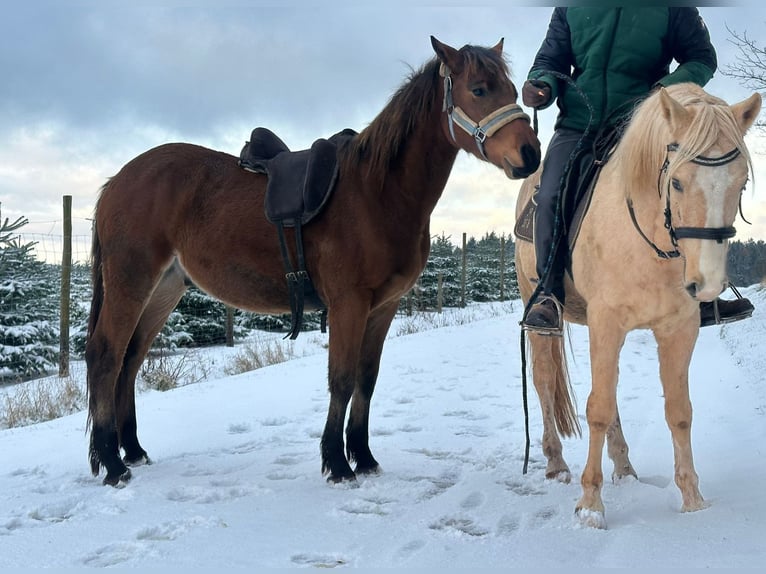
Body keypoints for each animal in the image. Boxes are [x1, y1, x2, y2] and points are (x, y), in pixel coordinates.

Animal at [87, 36, 544, 486]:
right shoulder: (348, 304)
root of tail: (117, 181)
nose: (530, 153)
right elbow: (341, 380)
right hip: (132, 282)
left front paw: (363, 456)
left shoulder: (383, 307)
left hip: (163, 290)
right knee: (106, 356)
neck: (378, 194)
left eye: (510, 88)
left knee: (130, 360)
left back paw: (133, 450)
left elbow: (366, 380)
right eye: (479, 90)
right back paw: (112, 463)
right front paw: (338, 463)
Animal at [516, 83, 760, 528]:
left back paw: (625, 467)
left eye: (741, 181)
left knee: (609, 393)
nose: (707, 284)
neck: (651, 242)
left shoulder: (678, 329)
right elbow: (596, 407)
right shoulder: (607, 322)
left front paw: (692, 498)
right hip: (539, 309)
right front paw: (590, 505)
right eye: (676, 182)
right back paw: (556, 464)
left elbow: (678, 410)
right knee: (544, 381)